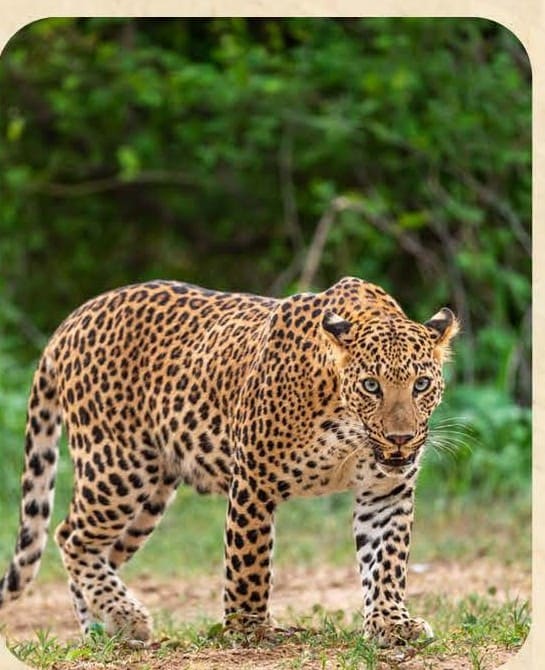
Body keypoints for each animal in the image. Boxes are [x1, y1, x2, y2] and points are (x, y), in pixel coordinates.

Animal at [0, 276, 458, 647]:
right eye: (371, 385)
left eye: (421, 384)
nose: (400, 438)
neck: (348, 429)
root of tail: (72, 320)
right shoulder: (255, 479)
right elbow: (249, 562)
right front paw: (249, 629)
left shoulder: (386, 491)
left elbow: (386, 562)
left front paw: (391, 623)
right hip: (118, 467)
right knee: (70, 536)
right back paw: (125, 617)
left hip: (151, 493)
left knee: (100, 553)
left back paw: (102, 630)